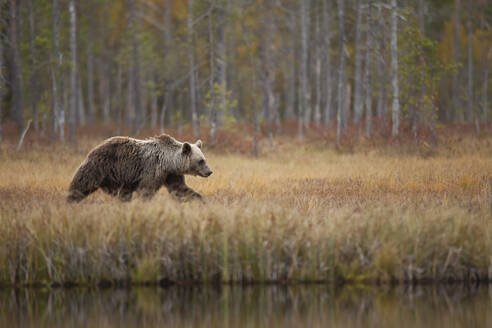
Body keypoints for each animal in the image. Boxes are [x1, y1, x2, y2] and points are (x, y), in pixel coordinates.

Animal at [66, 133, 212, 202]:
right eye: (201, 161)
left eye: (204, 159)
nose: (209, 171)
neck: (169, 163)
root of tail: (95, 148)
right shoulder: (152, 170)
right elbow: (146, 190)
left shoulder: (170, 174)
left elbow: (180, 189)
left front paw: (200, 200)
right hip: (101, 166)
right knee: (82, 184)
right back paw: (71, 199)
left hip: (117, 177)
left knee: (122, 194)